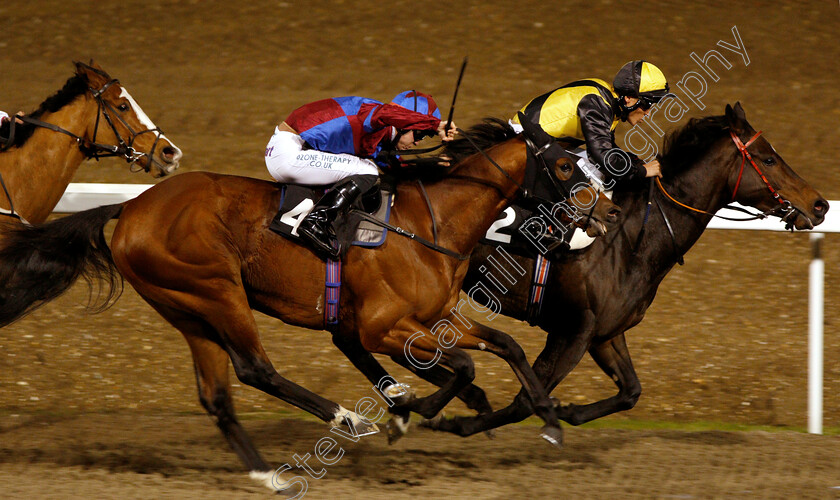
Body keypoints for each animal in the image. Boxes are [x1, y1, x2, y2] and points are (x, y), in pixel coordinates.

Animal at [0, 118, 616, 488]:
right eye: (566, 165)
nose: (608, 212)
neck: (431, 224)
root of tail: (130, 208)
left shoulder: (432, 318)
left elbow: (506, 345)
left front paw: (547, 419)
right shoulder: (381, 327)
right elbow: (462, 365)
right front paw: (410, 411)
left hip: (184, 307)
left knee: (216, 395)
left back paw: (266, 476)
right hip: (216, 290)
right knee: (255, 369)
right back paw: (345, 418)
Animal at [420, 102, 828, 438]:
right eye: (769, 159)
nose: (820, 205)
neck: (632, 239)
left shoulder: (606, 333)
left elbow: (631, 391)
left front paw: (570, 411)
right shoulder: (572, 331)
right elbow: (526, 400)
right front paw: (458, 422)